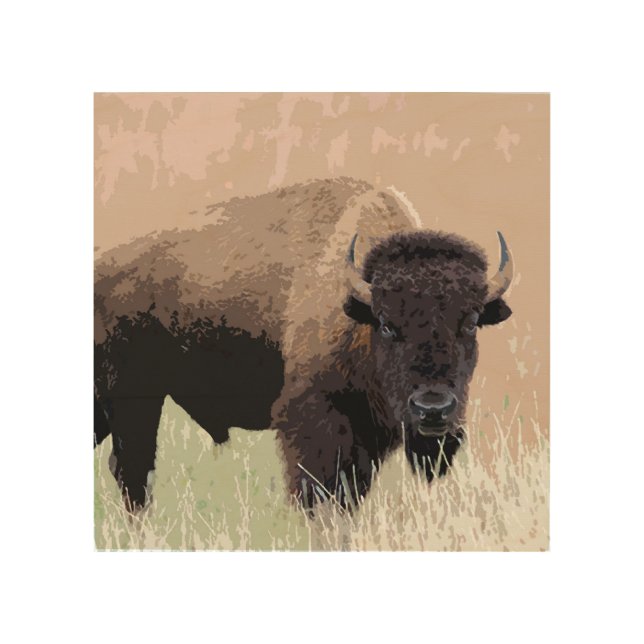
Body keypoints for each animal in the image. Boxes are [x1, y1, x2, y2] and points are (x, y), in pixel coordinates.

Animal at [94, 177, 513, 510]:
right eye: (386, 325)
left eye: (471, 322)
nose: (432, 409)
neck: (355, 302)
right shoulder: (314, 422)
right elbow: (319, 495)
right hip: (134, 400)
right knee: (133, 474)